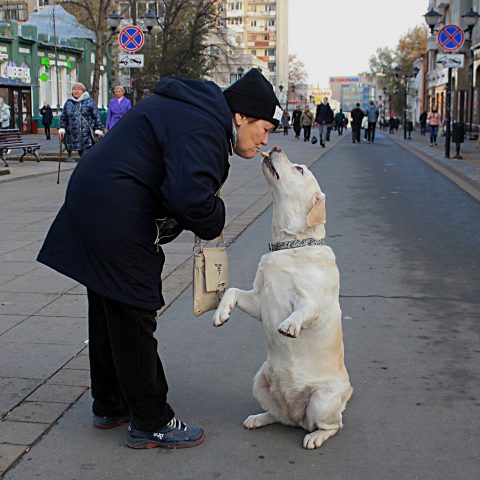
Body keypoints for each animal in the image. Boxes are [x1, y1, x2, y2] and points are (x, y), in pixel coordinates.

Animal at [214, 146, 352, 450]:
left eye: (299, 169)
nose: (275, 147)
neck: (289, 245)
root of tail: (296, 413)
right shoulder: (258, 300)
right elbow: (232, 291)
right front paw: (221, 313)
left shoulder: (313, 302)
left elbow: (304, 309)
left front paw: (289, 325)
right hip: (259, 382)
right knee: (279, 416)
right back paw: (259, 418)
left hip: (322, 400)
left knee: (333, 425)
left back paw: (315, 437)